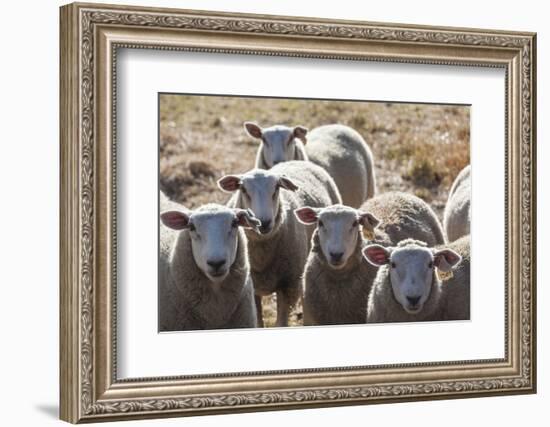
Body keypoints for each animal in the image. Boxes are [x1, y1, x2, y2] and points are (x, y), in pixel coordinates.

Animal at [219, 160, 340, 328]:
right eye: (243, 189)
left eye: (276, 188)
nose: (263, 222)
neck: (261, 255)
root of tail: (297, 161)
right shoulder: (252, 287)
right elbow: (258, 322)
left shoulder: (288, 286)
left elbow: (281, 322)